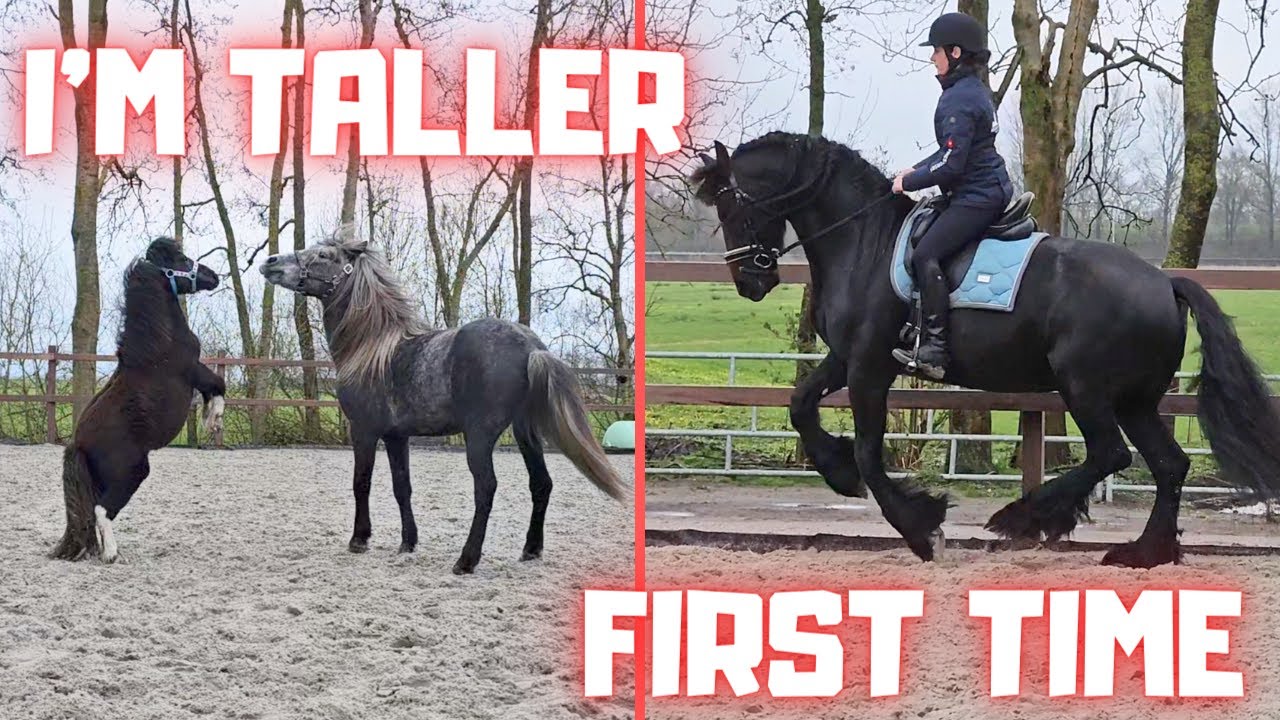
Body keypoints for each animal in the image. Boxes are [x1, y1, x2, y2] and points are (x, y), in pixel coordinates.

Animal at [51, 238, 225, 563]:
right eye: (182, 259)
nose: (213, 276)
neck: (158, 345)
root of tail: (78, 444)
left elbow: (214, 389)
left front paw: (209, 421)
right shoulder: (193, 370)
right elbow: (218, 385)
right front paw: (212, 420)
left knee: (93, 512)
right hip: (132, 472)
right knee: (101, 511)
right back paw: (111, 554)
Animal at [258, 236, 627, 574]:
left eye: (323, 255)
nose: (271, 261)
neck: (371, 349)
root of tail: (531, 347)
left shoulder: (363, 431)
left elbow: (361, 483)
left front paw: (359, 539)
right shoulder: (396, 436)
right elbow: (402, 487)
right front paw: (407, 543)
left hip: (479, 436)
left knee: (486, 488)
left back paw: (466, 560)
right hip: (526, 431)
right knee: (541, 483)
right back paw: (530, 550)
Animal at [691, 132, 1280, 568]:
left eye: (731, 205)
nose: (749, 281)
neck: (864, 242)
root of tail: (1164, 282)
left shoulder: (868, 368)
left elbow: (869, 453)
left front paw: (920, 527)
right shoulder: (848, 359)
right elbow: (801, 405)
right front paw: (838, 473)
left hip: (1085, 387)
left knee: (1112, 454)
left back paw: (1026, 517)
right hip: (1134, 400)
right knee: (1169, 465)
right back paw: (1142, 552)